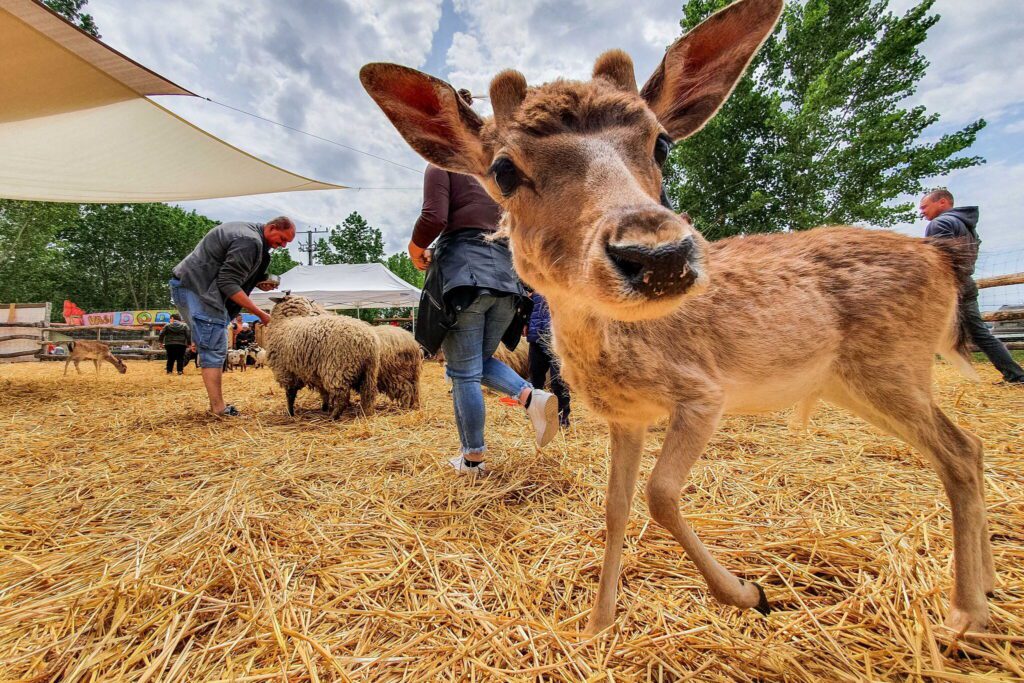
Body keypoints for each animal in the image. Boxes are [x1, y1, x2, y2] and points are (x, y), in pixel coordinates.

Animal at [362, 0, 991, 634]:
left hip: (891, 364)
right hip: (855, 380)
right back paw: (986, 587)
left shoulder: (703, 392)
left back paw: (966, 611)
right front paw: (598, 624)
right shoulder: (627, 416)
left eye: (661, 143)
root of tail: (942, 261)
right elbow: (614, 506)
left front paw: (747, 593)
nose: (659, 255)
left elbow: (660, 494)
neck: (617, 355)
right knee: (971, 445)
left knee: (959, 452)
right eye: (504, 169)